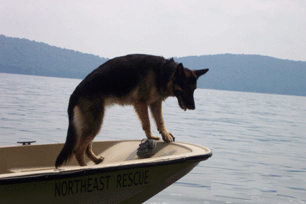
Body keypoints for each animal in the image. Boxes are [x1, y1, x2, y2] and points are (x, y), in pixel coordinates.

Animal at [55, 54, 208, 167]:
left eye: (194, 89)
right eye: (187, 89)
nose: (193, 107)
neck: (163, 73)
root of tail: (74, 94)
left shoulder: (155, 103)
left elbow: (160, 120)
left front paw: (164, 134)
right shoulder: (141, 103)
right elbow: (147, 123)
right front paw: (151, 136)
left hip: (93, 124)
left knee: (86, 147)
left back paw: (96, 160)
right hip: (94, 123)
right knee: (78, 149)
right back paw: (84, 168)